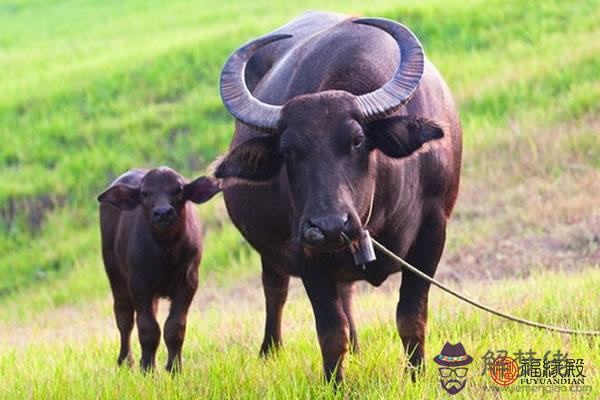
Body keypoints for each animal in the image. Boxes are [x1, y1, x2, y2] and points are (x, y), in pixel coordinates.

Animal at [98, 166, 220, 372]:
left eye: (178, 189)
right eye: (145, 193)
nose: (162, 213)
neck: (166, 252)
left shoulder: (188, 284)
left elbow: (175, 327)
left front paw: (174, 368)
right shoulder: (139, 285)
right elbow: (148, 329)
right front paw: (148, 369)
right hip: (114, 275)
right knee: (124, 317)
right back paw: (126, 361)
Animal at [213, 10, 462, 382]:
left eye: (357, 140)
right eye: (288, 152)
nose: (329, 226)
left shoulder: (432, 233)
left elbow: (410, 316)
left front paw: (416, 375)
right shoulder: (304, 249)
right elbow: (331, 332)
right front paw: (334, 384)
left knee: (346, 292)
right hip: (272, 251)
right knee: (275, 289)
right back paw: (270, 350)